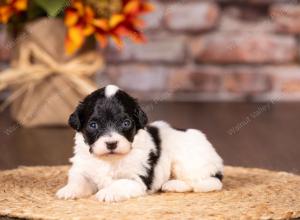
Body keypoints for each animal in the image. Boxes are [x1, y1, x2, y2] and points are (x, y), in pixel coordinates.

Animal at [56, 85, 223, 202]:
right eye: (93, 125)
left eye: (126, 123)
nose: (111, 144)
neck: (110, 160)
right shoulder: (83, 169)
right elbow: (79, 180)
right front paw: (68, 190)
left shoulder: (136, 178)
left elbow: (120, 182)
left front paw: (107, 192)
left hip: (187, 163)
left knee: (203, 181)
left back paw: (173, 185)